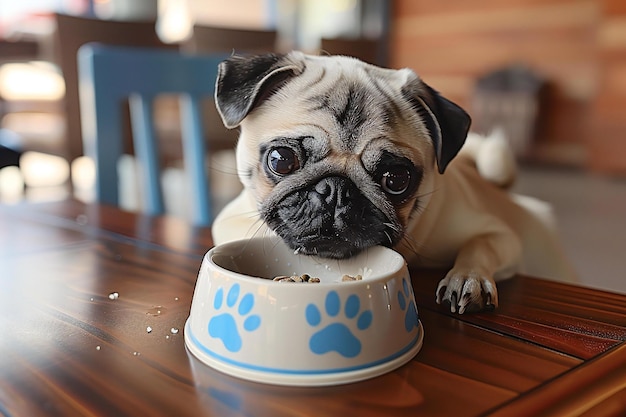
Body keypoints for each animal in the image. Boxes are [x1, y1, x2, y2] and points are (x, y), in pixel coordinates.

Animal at [211, 51, 576, 312]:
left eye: (396, 179)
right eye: (282, 160)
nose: (336, 189)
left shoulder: (500, 236)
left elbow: (480, 244)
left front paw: (468, 278)